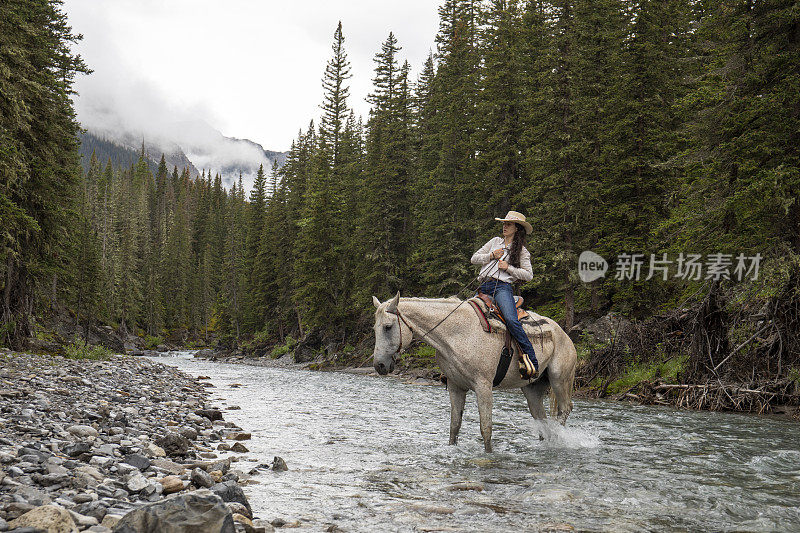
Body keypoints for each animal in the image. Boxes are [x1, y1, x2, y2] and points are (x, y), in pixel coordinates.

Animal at [372, 294, 580, 450]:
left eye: (388, 327)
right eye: (375, 328)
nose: (379, 365)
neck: (457, 333)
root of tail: (565, 336)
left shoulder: (483, 386)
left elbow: (486, 428)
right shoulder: (456, 387)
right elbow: (454, 427)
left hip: (560, 379)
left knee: (564, 410)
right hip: (532, 389)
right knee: (542, 420)